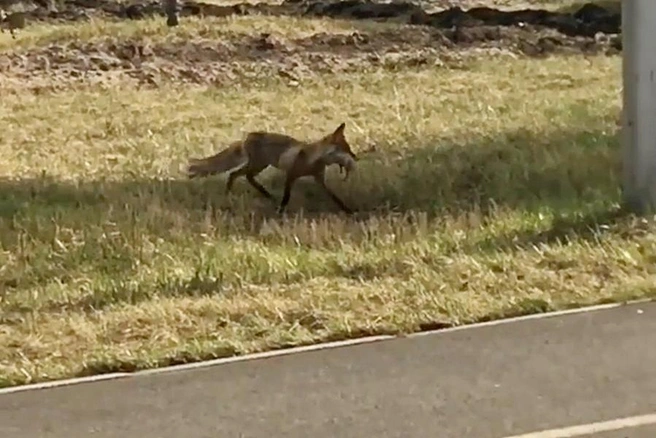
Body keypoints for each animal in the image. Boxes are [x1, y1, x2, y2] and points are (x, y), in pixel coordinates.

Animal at [184, 122, 358, 215]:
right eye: (345, 149)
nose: (355, 157)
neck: (312, 160)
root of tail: (247, 137)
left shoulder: (319, 179)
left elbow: (335, 197)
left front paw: (348, 210)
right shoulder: (291, 175)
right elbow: (286, 197)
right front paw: (280, 212)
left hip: (259, 166)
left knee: (244, 176)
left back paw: (266, 194)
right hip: (257, 165)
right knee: (235, 174)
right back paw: (231, 193)